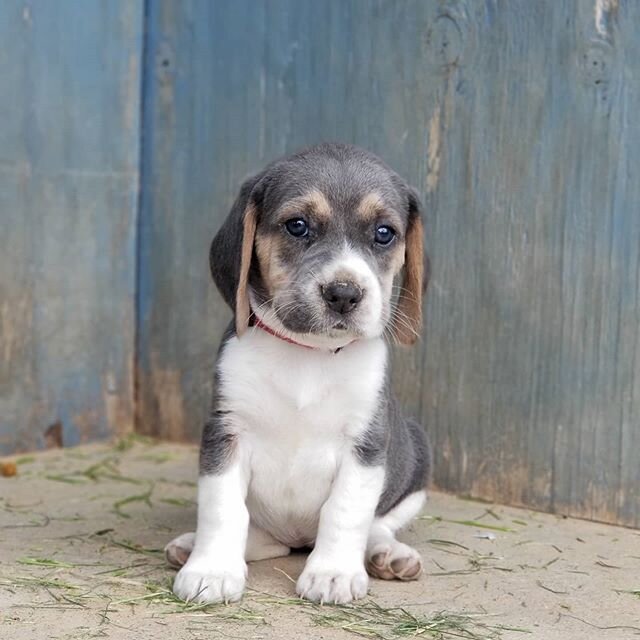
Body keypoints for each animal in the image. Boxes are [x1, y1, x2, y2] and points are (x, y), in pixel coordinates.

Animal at [165, 141, 432, 604]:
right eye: (297, 226)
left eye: (384, 233)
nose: (344, 294)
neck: (310, 355)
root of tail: (296, 539)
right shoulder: (225, 433)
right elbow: (222, 509)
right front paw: (211, 569)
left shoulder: (366, 444)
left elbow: (345, 511)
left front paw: (333, 574)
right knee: (258, 533)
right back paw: (192, 545)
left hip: (416, 459)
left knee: (377, 526)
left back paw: (388, 555)